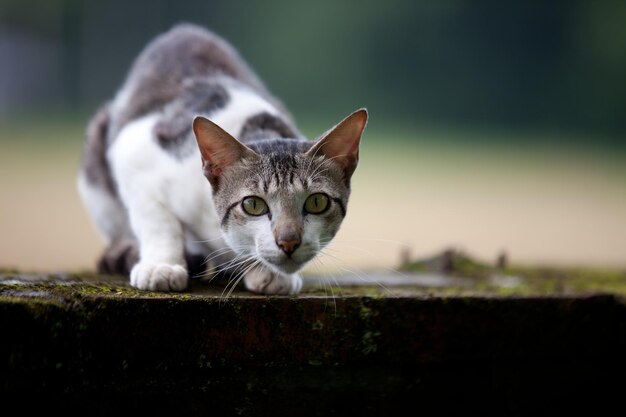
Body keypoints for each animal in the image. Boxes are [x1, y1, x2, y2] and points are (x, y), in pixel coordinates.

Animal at [77, 22, 366, 294]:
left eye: (317, 202)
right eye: (253, 205)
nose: (288, 241)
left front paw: (268, 273)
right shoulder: (135, 149)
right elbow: (157, 219)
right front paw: (162, 266)